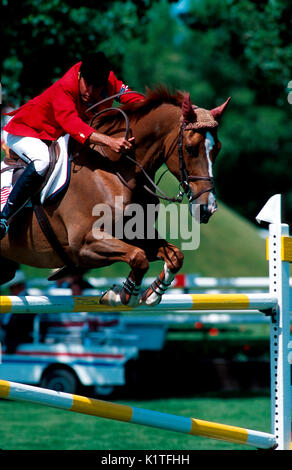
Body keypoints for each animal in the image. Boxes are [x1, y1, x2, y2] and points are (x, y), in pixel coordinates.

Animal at [1, 87, 230, 306]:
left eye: (217, 149)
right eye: (190, 149)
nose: (207, 208)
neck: (115, 170)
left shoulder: (135, 234)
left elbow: (174, 256)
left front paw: (150, 294)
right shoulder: (84, 243)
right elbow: (138, 257)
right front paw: (121, 295)